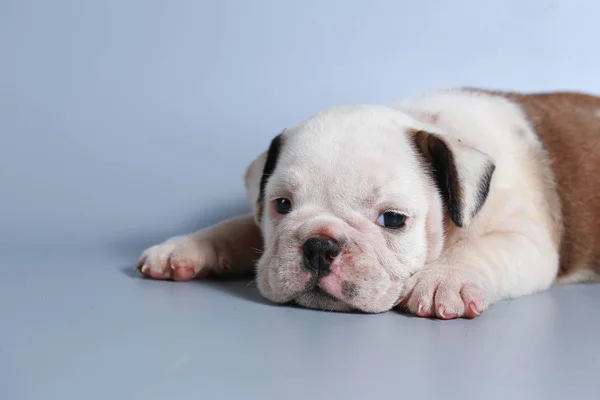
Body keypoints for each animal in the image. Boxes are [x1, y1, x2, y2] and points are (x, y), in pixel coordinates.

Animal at [136, 88, 600, 318]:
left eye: (392, 219)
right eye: (281, 205)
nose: (319, 246)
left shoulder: (527, 240)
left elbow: (480, 248)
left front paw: (442, 280)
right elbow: (236, 227)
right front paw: (183, 248)